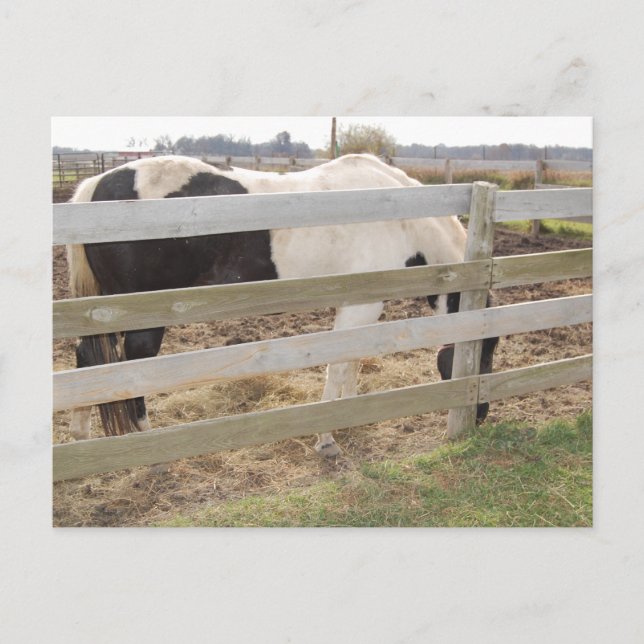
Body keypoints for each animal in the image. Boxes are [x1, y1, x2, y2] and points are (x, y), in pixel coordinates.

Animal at [66, 153, 499, 457]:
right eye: (485, 355)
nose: (481, 416)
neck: (400, 217)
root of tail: (96, 185)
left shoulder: (362, 304)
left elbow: (353, 360)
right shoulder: (359, 305)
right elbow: (338, 364)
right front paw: (326, 437)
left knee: (88, 360)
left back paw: (83, 441)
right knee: (130, 369)